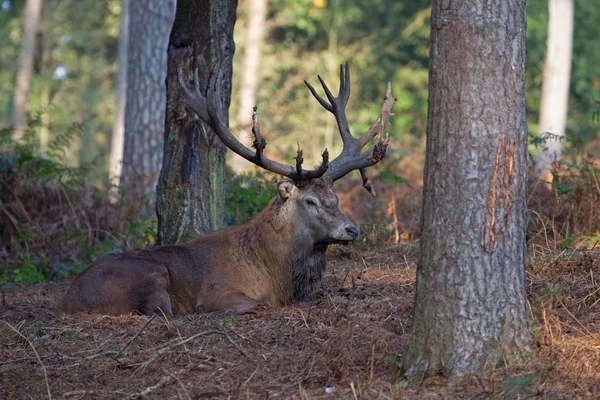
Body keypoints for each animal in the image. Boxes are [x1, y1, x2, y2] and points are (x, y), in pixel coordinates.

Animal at [55, 61, 394, 318]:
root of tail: (68, 300)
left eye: (335, 198)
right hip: (149, 275)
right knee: (163, 313)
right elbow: (256, 305)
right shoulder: (221, 291)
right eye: (310, 201)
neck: (276, 275)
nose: (352, 230)